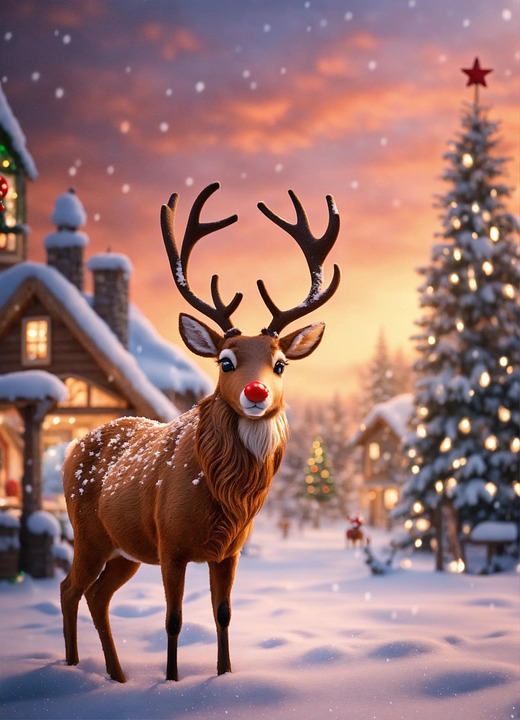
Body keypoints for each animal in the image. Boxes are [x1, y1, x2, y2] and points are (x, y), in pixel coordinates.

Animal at [60, 181, 341, 683]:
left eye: (280, 363)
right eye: (225, 361)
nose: (256, 391)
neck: (223, 494)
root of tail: (75, 446)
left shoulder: (229, 551)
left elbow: (223, 613)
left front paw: (223, 676)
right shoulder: (170, 544)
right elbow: (173, 619)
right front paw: (172, 680)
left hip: (124, 550)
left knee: (96, 595)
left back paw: (117, 675)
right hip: (88, 533)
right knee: (69, 588)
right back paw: (73, 669)